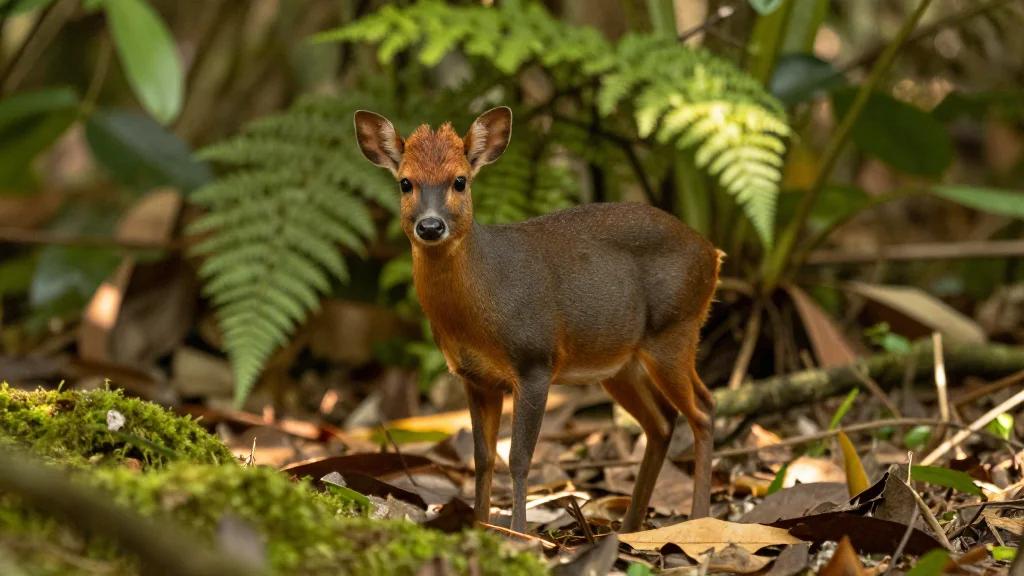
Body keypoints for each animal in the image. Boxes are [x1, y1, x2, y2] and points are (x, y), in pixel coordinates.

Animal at [354, 106, 719, 533]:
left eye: (460, 181)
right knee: (661, 422)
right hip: (619, 362)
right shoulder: (476, 378)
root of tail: (712, 253)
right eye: (405, 183)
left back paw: (698, 519)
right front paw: (481, 525)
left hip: (674, 328)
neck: (485, 301)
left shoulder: (534, 361)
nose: (430, 226)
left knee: (704, 409)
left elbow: (519, 458)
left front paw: (519, 532)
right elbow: (483, 459)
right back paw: (630, 526)